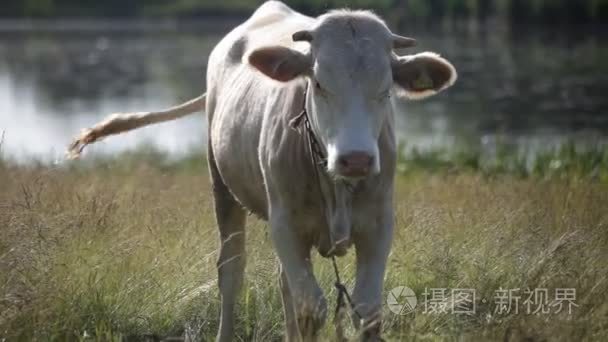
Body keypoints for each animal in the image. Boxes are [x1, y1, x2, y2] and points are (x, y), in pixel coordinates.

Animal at [66, 1, 456, 340]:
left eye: (386, 89)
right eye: (318, 84)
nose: (356, 159)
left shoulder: (378, 225)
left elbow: (367, 310)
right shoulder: (285, 225)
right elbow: (311, 307)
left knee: (284, 284)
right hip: (222, 187)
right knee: (231, 272)